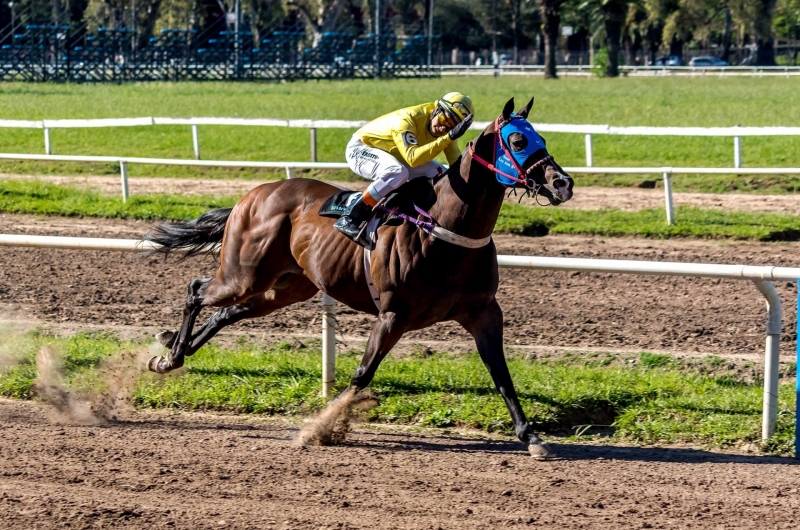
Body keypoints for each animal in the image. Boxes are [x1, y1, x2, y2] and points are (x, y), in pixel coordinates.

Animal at [147, 97, 576, 456]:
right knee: (196, 290)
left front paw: (531, 436)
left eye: (541, 138)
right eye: (518, 140)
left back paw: (174, 353)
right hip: (244, 273)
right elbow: (362, 374)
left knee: (226, 312)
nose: (563, 183)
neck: (446, 230)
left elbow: (501, 374)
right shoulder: (393, 315)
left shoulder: (483, 312)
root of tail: (252, 194)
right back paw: (171, 355)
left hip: (285, 287)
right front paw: (320, 428)